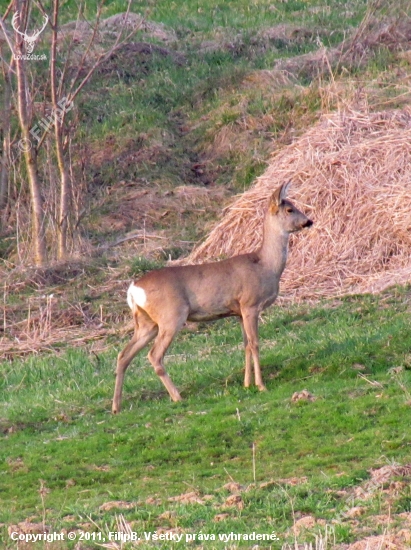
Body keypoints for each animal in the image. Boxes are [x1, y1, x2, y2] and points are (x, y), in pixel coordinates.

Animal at [112, 182, 312, 414]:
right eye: (289, 209)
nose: (309, 221)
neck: (265, 265)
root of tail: (133, 289)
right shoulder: (250, 304)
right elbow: (254, 343)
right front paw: (261, 385)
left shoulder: (238, 312)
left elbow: (245, 344)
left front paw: (247, 384)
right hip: (171, 316)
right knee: (154, 355)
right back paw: (177, 396)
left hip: (146, 322)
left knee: (124, 355)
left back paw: (116, 407)